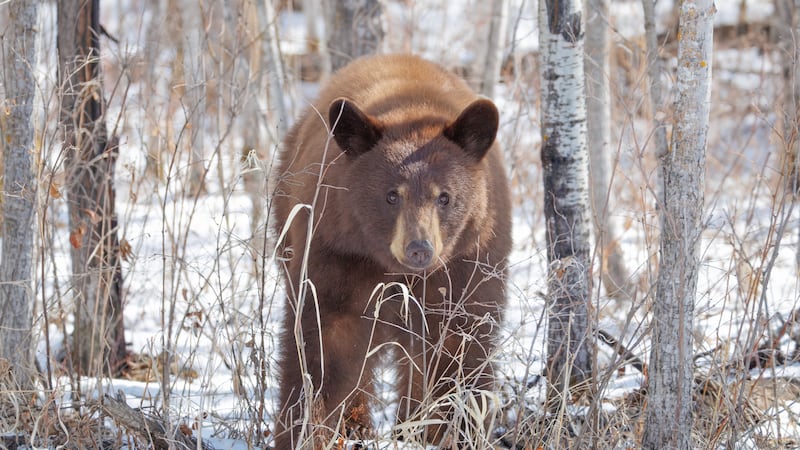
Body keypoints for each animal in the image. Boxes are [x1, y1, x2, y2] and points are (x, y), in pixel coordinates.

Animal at [271, 54, 512, 449]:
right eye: (391, 195)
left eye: (445, 196)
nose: (419, 249)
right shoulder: (336, 251)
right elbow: (323, 344)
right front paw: (305, 429)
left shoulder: (467, 265)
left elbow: (460, 347)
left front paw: (452, 430)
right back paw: (359, 425)